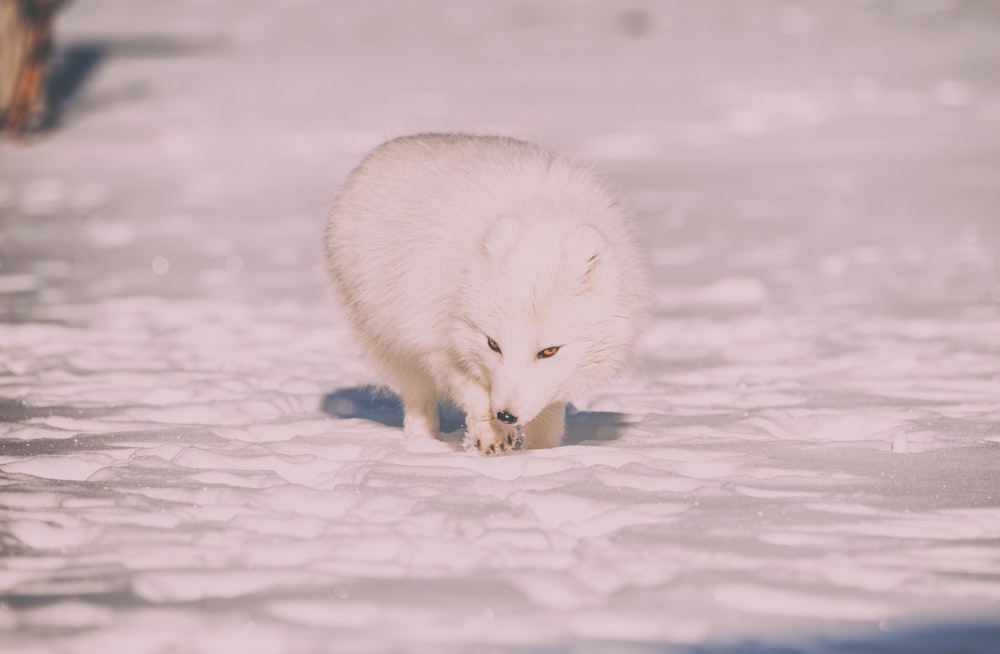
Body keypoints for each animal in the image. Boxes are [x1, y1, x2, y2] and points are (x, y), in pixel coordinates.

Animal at [324, 133, 644, 456]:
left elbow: (547, 418)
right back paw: (422, 445)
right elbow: (474, 392)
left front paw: (541, 455)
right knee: (418, 402)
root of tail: (380, 152)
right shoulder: (441, 342)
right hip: (393, 345)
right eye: (493, 344)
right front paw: (491, 432)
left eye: (549, 351)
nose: (506, 415)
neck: (540, 217)